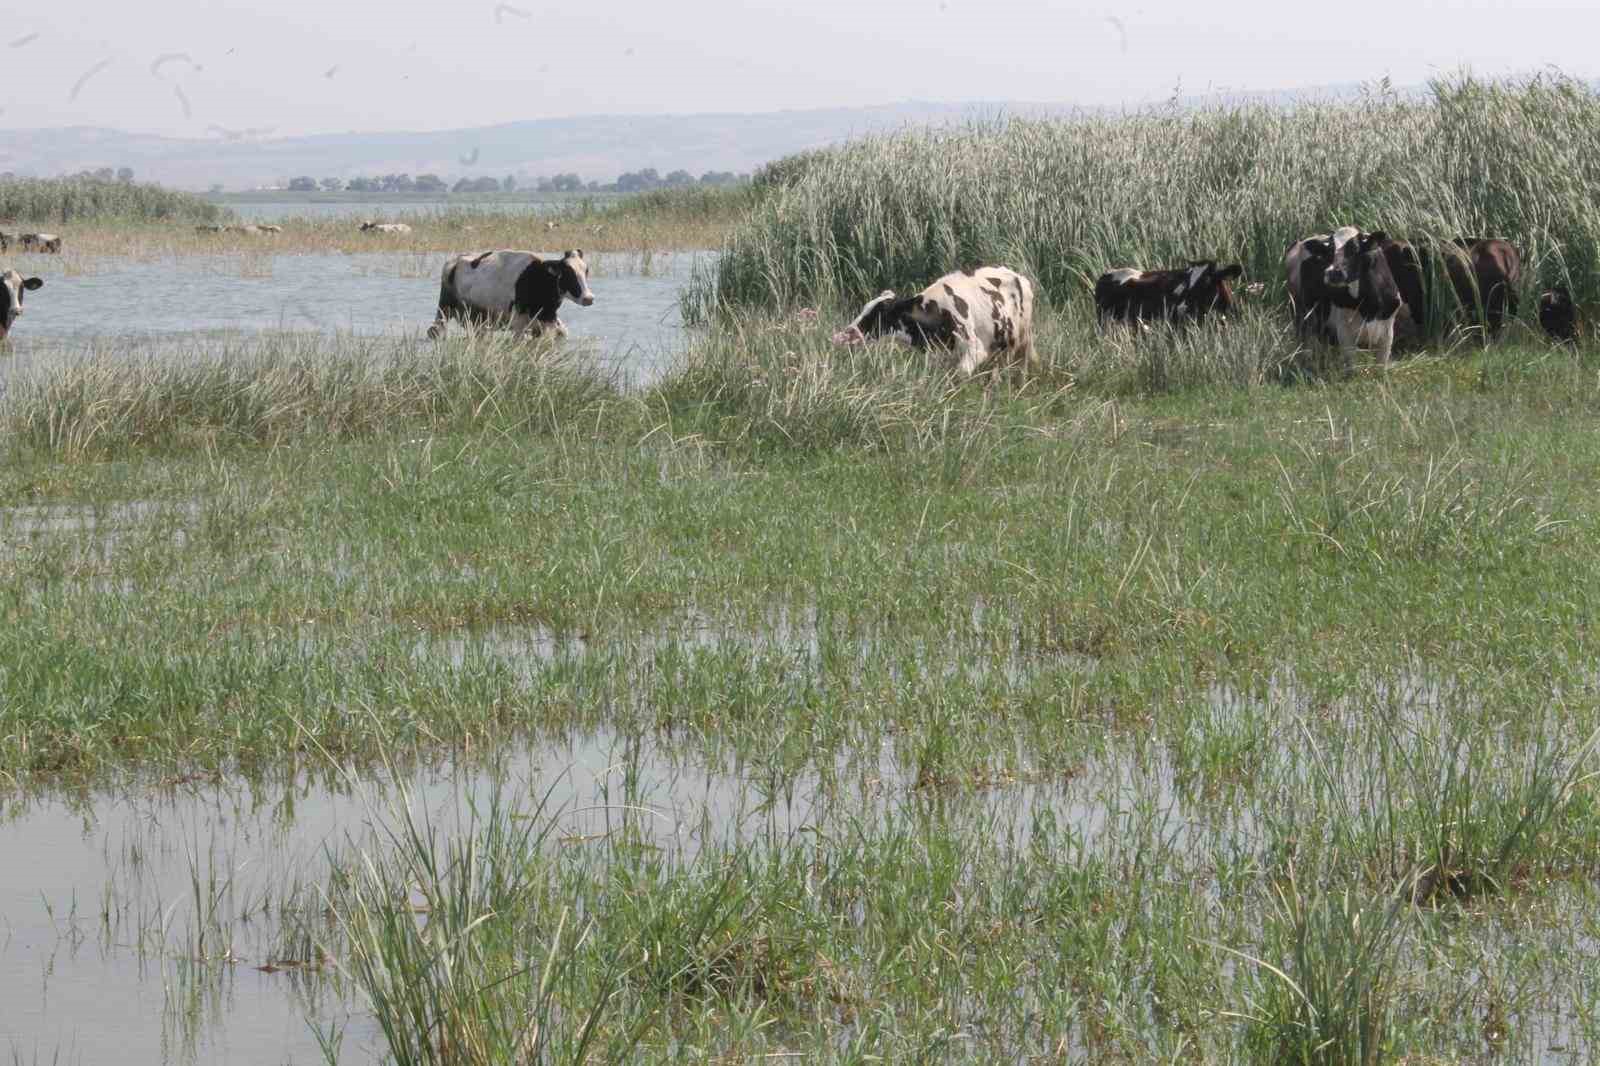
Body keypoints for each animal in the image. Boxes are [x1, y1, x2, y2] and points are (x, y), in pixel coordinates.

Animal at [428, 246, 598, 337]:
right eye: (568, 274)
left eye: (586, 270)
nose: (588, 298)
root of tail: (456, 260)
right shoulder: (519, 326)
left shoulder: (548, 323)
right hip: (444, 310)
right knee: (435, 331)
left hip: (477, 320)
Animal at [832, 265, 1043, 377]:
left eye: (879, 313)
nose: (847, 332)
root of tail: (1017, 275)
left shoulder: (974, 348)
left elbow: (960, 375)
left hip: (1019, 339)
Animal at [1286, 225, 1401, 368]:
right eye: (1328, 252)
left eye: (1355, 249)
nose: (1333, 273)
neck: (1369, 306)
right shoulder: (1345, 334)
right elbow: (1351, 368)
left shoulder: (1387, 334)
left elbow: (1380, 367)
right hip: (1299, 314)